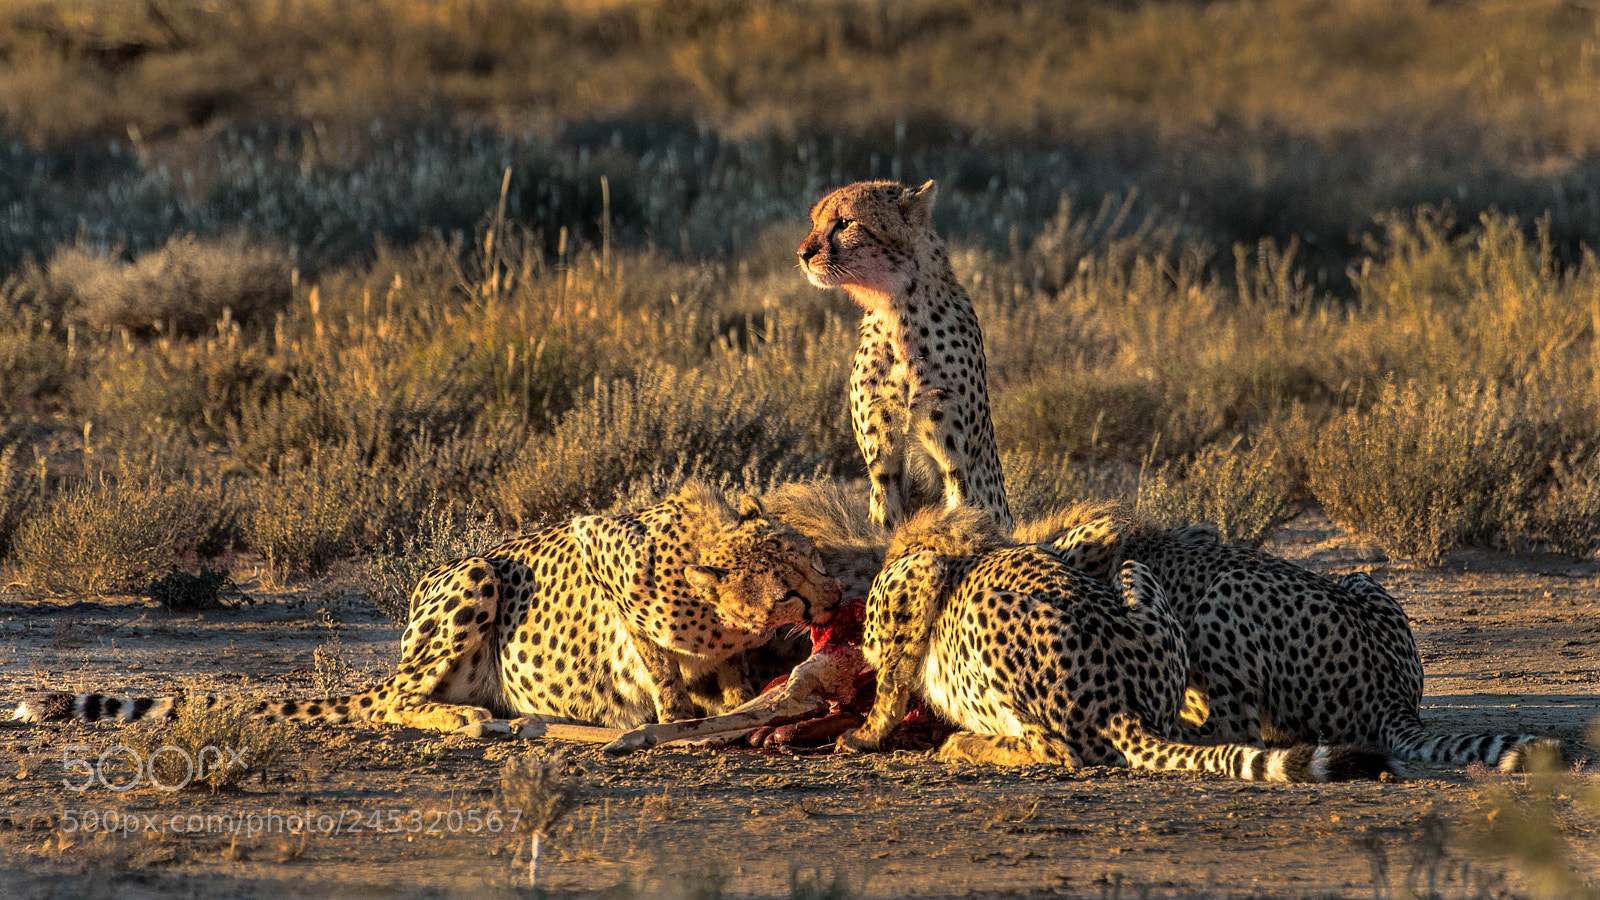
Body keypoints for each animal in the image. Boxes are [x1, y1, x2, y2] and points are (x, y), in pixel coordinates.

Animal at [13, 482, 843, 734]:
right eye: (791, 587)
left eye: (815, 561)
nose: (835, 596)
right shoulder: (599, 548)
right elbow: (656, 659)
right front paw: (677, 712)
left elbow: (723, 668)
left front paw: (734, 696)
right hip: (476, 574)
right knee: (395, 705)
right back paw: (467, 721)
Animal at [799, 179, 1012, 530]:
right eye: (814, 222)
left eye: (845, 222)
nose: (803, 254)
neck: (897, 314)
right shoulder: (884, 467)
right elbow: (885, 524)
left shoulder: (954, 466)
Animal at [835, 504, 1394, 783]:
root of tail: (1124, 707)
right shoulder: (1097, 540)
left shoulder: (917, 575)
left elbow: (890, 683)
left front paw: (862, 736)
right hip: (1138, 579)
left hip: (988, 618)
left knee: (1056, 751)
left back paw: (962, 743)